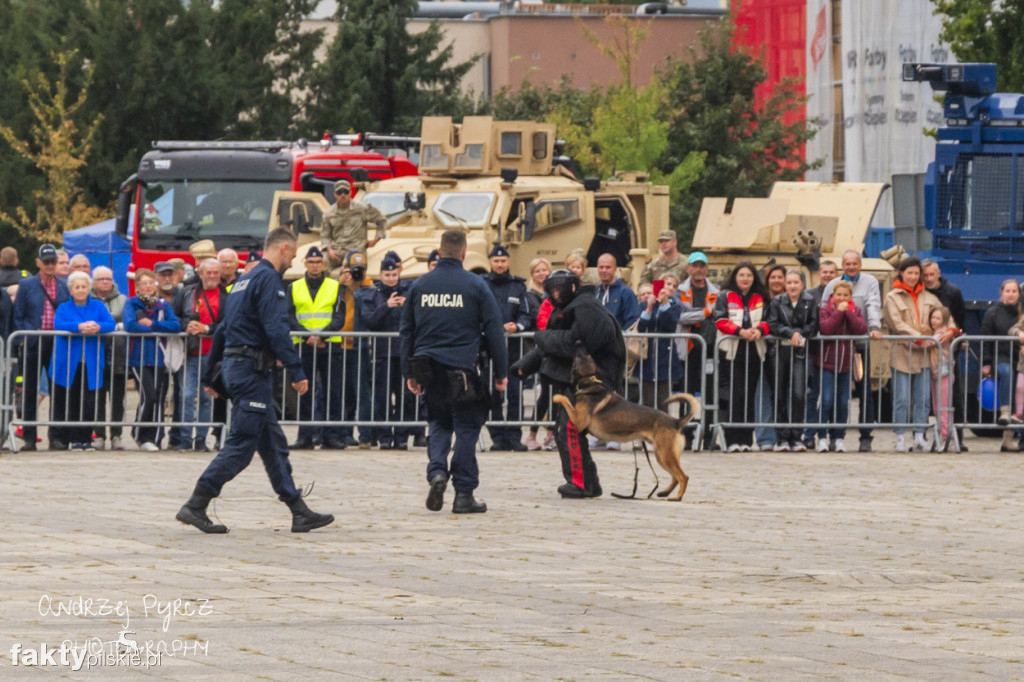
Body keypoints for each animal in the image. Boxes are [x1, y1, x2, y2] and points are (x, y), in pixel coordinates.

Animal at [557, 350, 700, 499]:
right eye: (587, 357)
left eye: (577, 360)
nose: (580, 350)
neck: (590, 379)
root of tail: (675, 421)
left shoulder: (578, 422)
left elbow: (564, 399)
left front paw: (557, 397)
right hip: (661, 456)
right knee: (675, 477)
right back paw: (665, 492)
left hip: (665, 455)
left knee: (683, 477)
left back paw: (677, 497)